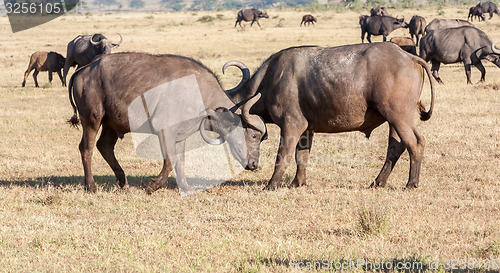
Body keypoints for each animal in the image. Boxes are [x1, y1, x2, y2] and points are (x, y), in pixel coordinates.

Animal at [69, 52, 270, 193]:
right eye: (254, 135)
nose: (254, 164)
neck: (198, 94)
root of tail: (83, 70)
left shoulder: (181, 135)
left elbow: (180, 160)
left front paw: (185, 186)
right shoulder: (166, 131)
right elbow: (170, 160)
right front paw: (154, 185)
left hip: (110, 123)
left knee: (105, 146)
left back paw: (123, 182)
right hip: (92, 119)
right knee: (86, 148)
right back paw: (91, 186)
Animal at [225, 44, 436, 189]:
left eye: (255, 136)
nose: (252, 165)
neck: (271, 79)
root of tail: (409, 57)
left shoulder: (291, 125)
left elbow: (283, 156)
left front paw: (271, 185)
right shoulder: (306, 130)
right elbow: (301, 156)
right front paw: (298, 183)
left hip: (399, 116)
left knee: (415, 142)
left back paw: (411, 183)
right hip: (395, 120)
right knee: (395, 147)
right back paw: (377, 182)